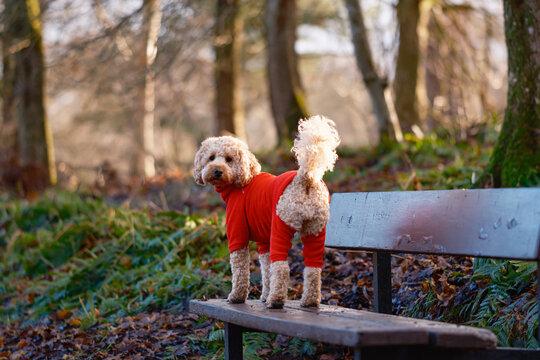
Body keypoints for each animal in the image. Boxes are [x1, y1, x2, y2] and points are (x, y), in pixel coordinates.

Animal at [192, 116, 340, 308]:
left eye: (229, 159)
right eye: (211, 158)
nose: (217, 170)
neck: (243, 181)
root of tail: (306, 178)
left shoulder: (237, 233)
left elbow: (241, 270)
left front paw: (237, 296)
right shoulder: (264, 240)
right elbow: (266, 268)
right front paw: (263, 295)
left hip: (281, 225)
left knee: (282, 267)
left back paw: (276, 300)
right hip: (315, 230)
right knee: (313, 268)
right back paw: (309, 301)